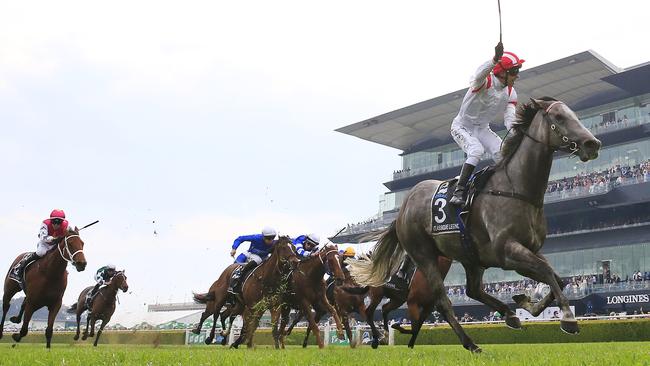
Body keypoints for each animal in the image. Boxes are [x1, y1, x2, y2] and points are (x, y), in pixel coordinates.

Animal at [352, 97, 600, 352]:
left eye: (575, 115)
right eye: (559, 117)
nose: (592, 144)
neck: (516, 190)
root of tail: (403, 207)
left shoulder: (528, 251)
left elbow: (556, 277)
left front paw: (527, 303)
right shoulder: (507, 252)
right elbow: (547, 272)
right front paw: (567, 318)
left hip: (470, 257)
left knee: (472, 289)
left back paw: (509, 315)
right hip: (424, 255)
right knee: (442, 300)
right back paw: (470, 342)